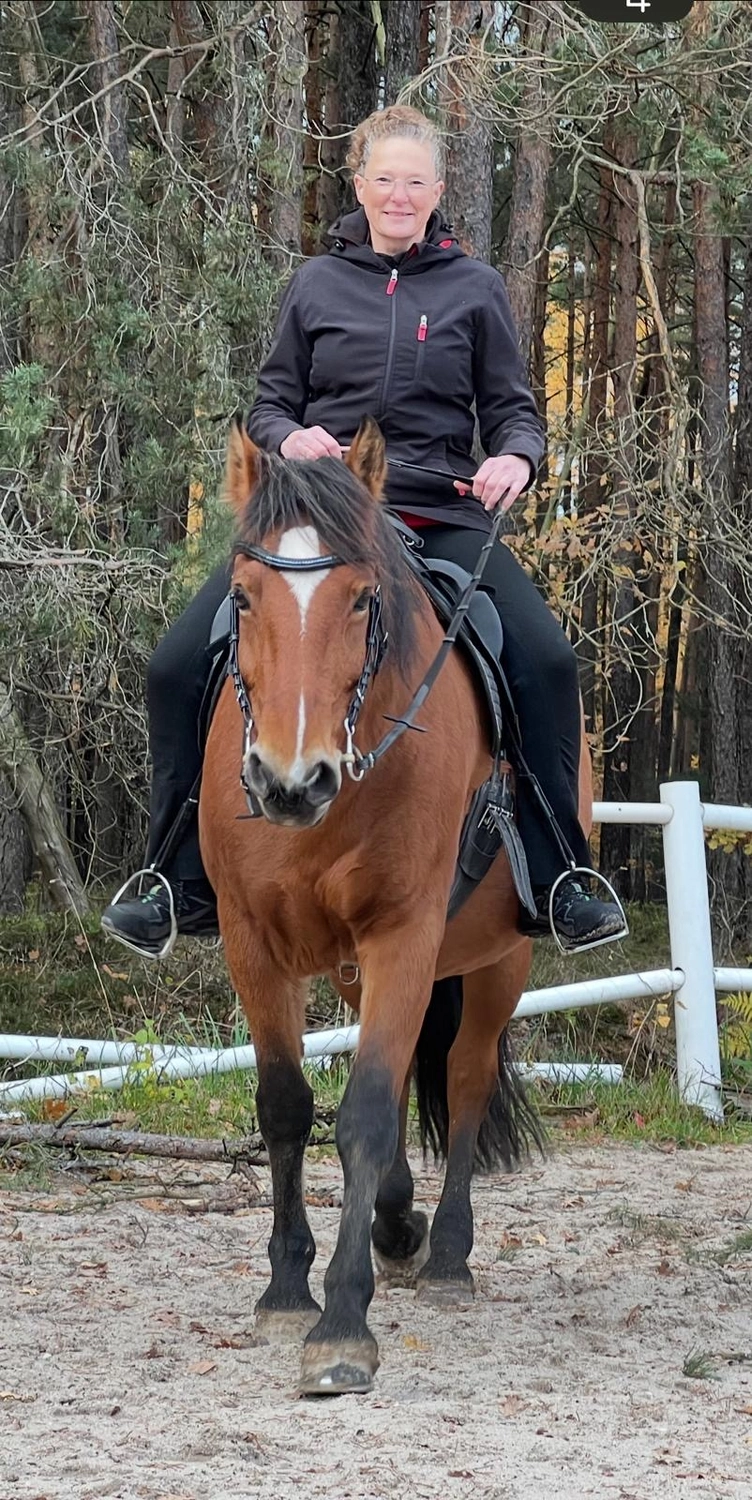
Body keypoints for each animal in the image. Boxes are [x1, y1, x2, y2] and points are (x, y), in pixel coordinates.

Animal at [200, 416, 591, 1397]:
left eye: (361, 599)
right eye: (245, 597)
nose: (292, 781)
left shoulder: (404, 935)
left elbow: (369, 1111)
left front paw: (342, 1324)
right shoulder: (252, 943)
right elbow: (286, 1104)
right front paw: (286, 1289)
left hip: (497, 962)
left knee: (465, 1074)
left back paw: (444, 1253)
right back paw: (397, 1224)